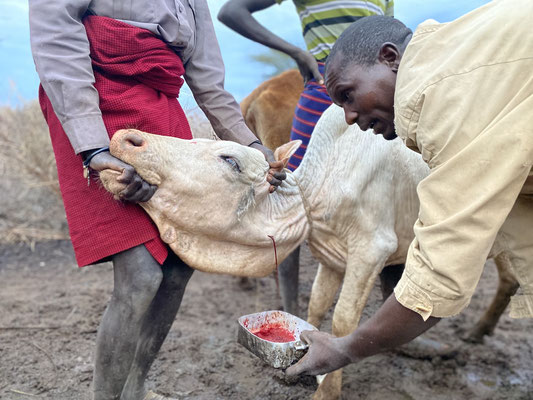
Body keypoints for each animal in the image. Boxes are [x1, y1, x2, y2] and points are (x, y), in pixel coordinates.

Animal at [98, 104, 516, 400]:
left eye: (230, 160)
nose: (128, 138)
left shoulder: (371, 250)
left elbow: (344, 322)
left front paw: (327, 389)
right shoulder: (332, 257)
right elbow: (315, 307)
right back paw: (475, 332)